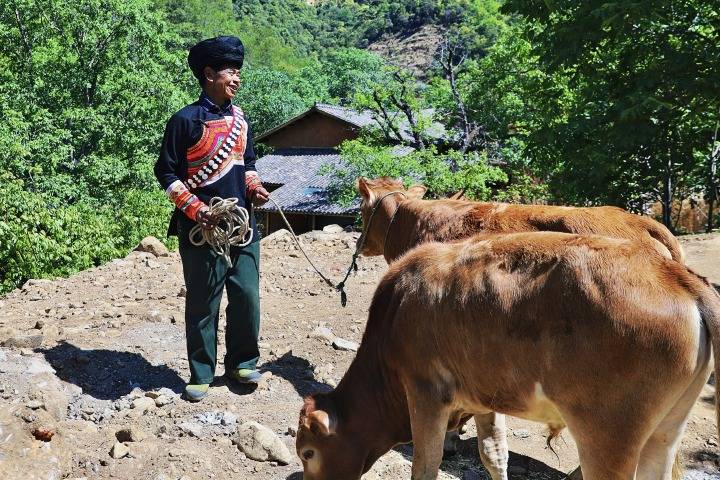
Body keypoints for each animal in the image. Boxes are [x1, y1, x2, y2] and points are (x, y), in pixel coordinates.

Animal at [296, 231, 716, 478]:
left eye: (308, 453)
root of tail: (671, 273)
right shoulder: (482, 396)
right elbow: (493, 453)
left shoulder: (425, 392)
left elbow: (426, 463)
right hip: (665, 430)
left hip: (608, 435)